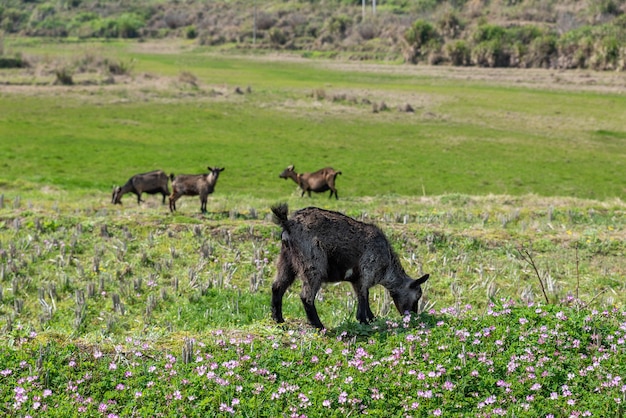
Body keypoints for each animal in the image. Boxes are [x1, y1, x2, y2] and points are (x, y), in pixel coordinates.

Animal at [268, 202, 428, 330]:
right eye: (418, 295)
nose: (412, 316)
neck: (387, 264)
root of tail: (288, 224)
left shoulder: (356, 280)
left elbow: (363, 297)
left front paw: (371, 319)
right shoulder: (365, 273)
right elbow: (363, 298)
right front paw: (364, 321)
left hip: (287, 260)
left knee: (277, 287)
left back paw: (279, 321)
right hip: (313, 263)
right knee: (306, 296)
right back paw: (319, 326)